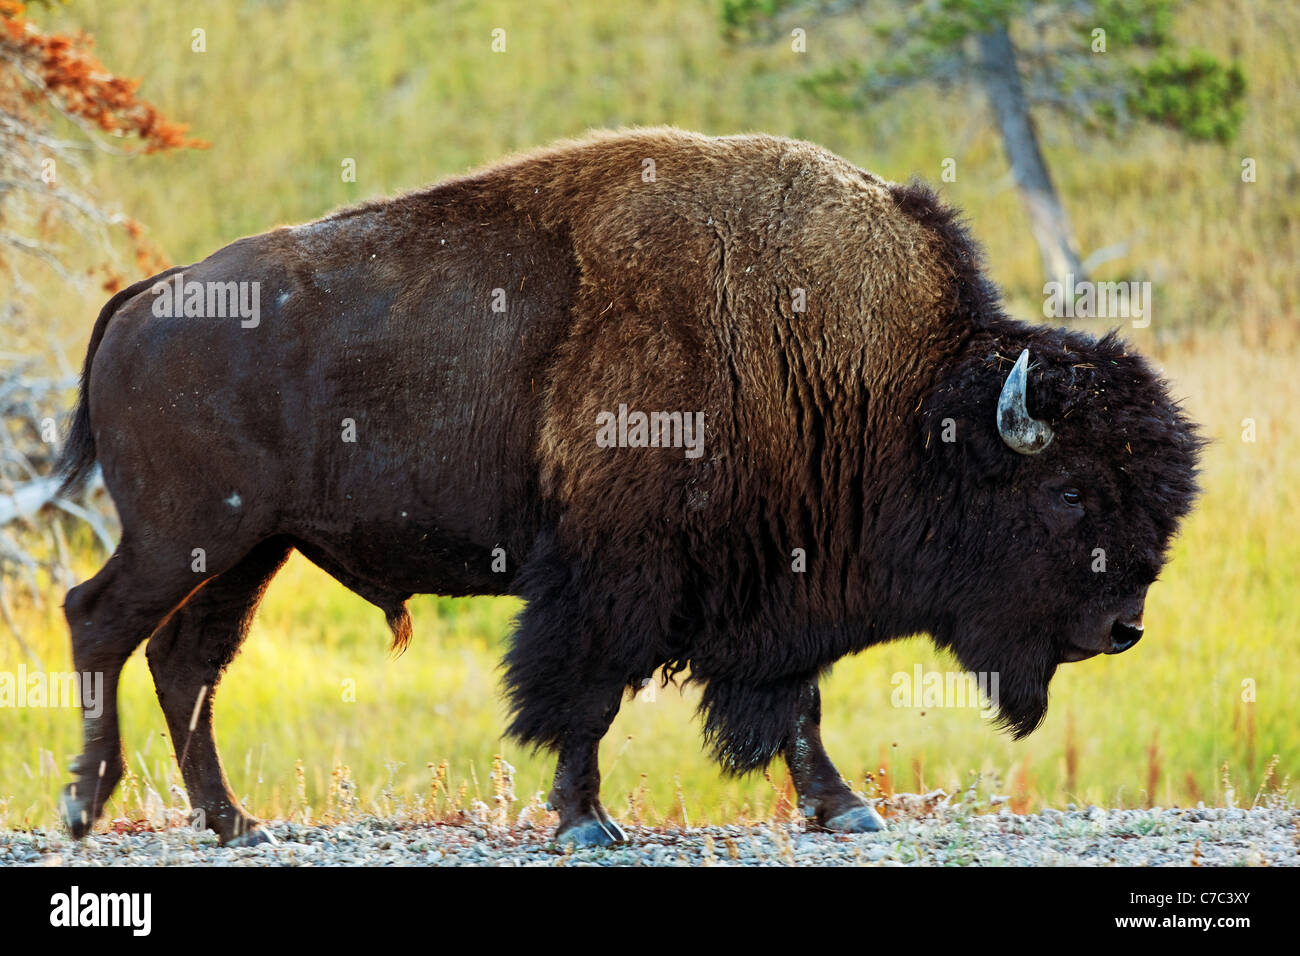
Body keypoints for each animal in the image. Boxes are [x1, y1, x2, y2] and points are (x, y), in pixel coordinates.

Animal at [55, 125, 1201, 842]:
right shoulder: (615, 577)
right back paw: (84, 807)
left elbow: (796, 705)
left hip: (251, 549)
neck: (892, 385)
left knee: (186, 662)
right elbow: (585, 695)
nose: (1124, 626)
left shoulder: (777, 588)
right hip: (187, 533)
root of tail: (150, 293)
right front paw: (587, 820)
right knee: (99, 620)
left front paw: (843, 808)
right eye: (1067, 493)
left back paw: (235, 822)